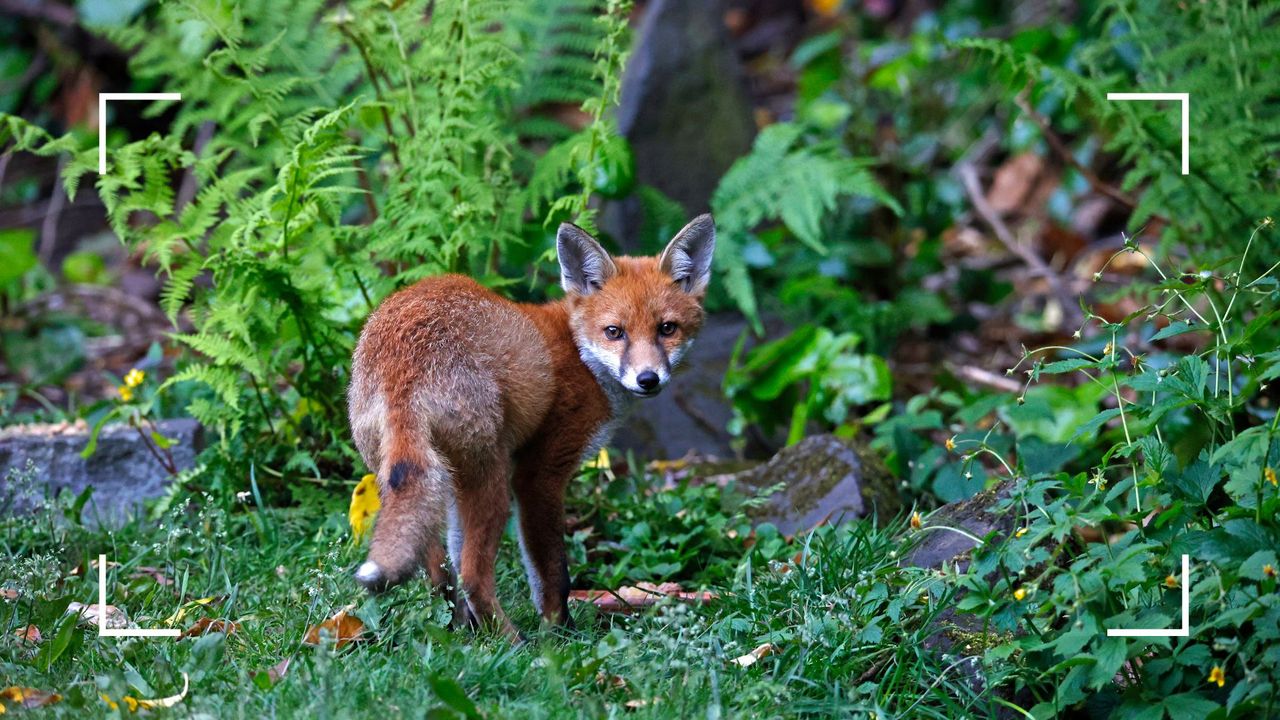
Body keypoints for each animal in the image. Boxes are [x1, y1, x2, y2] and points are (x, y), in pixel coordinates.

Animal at [345, 212, 716, 632]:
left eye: (667, 329)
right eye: (614, 332)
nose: (648, 379)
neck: (580, 355)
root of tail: (403, 365)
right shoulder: (539, 474)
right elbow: (554, 573)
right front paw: (560, 632)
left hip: (424, 478)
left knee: (441, 570)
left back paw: (462, 629)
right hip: (491, 482)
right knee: (472, 575)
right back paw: (512, 641)